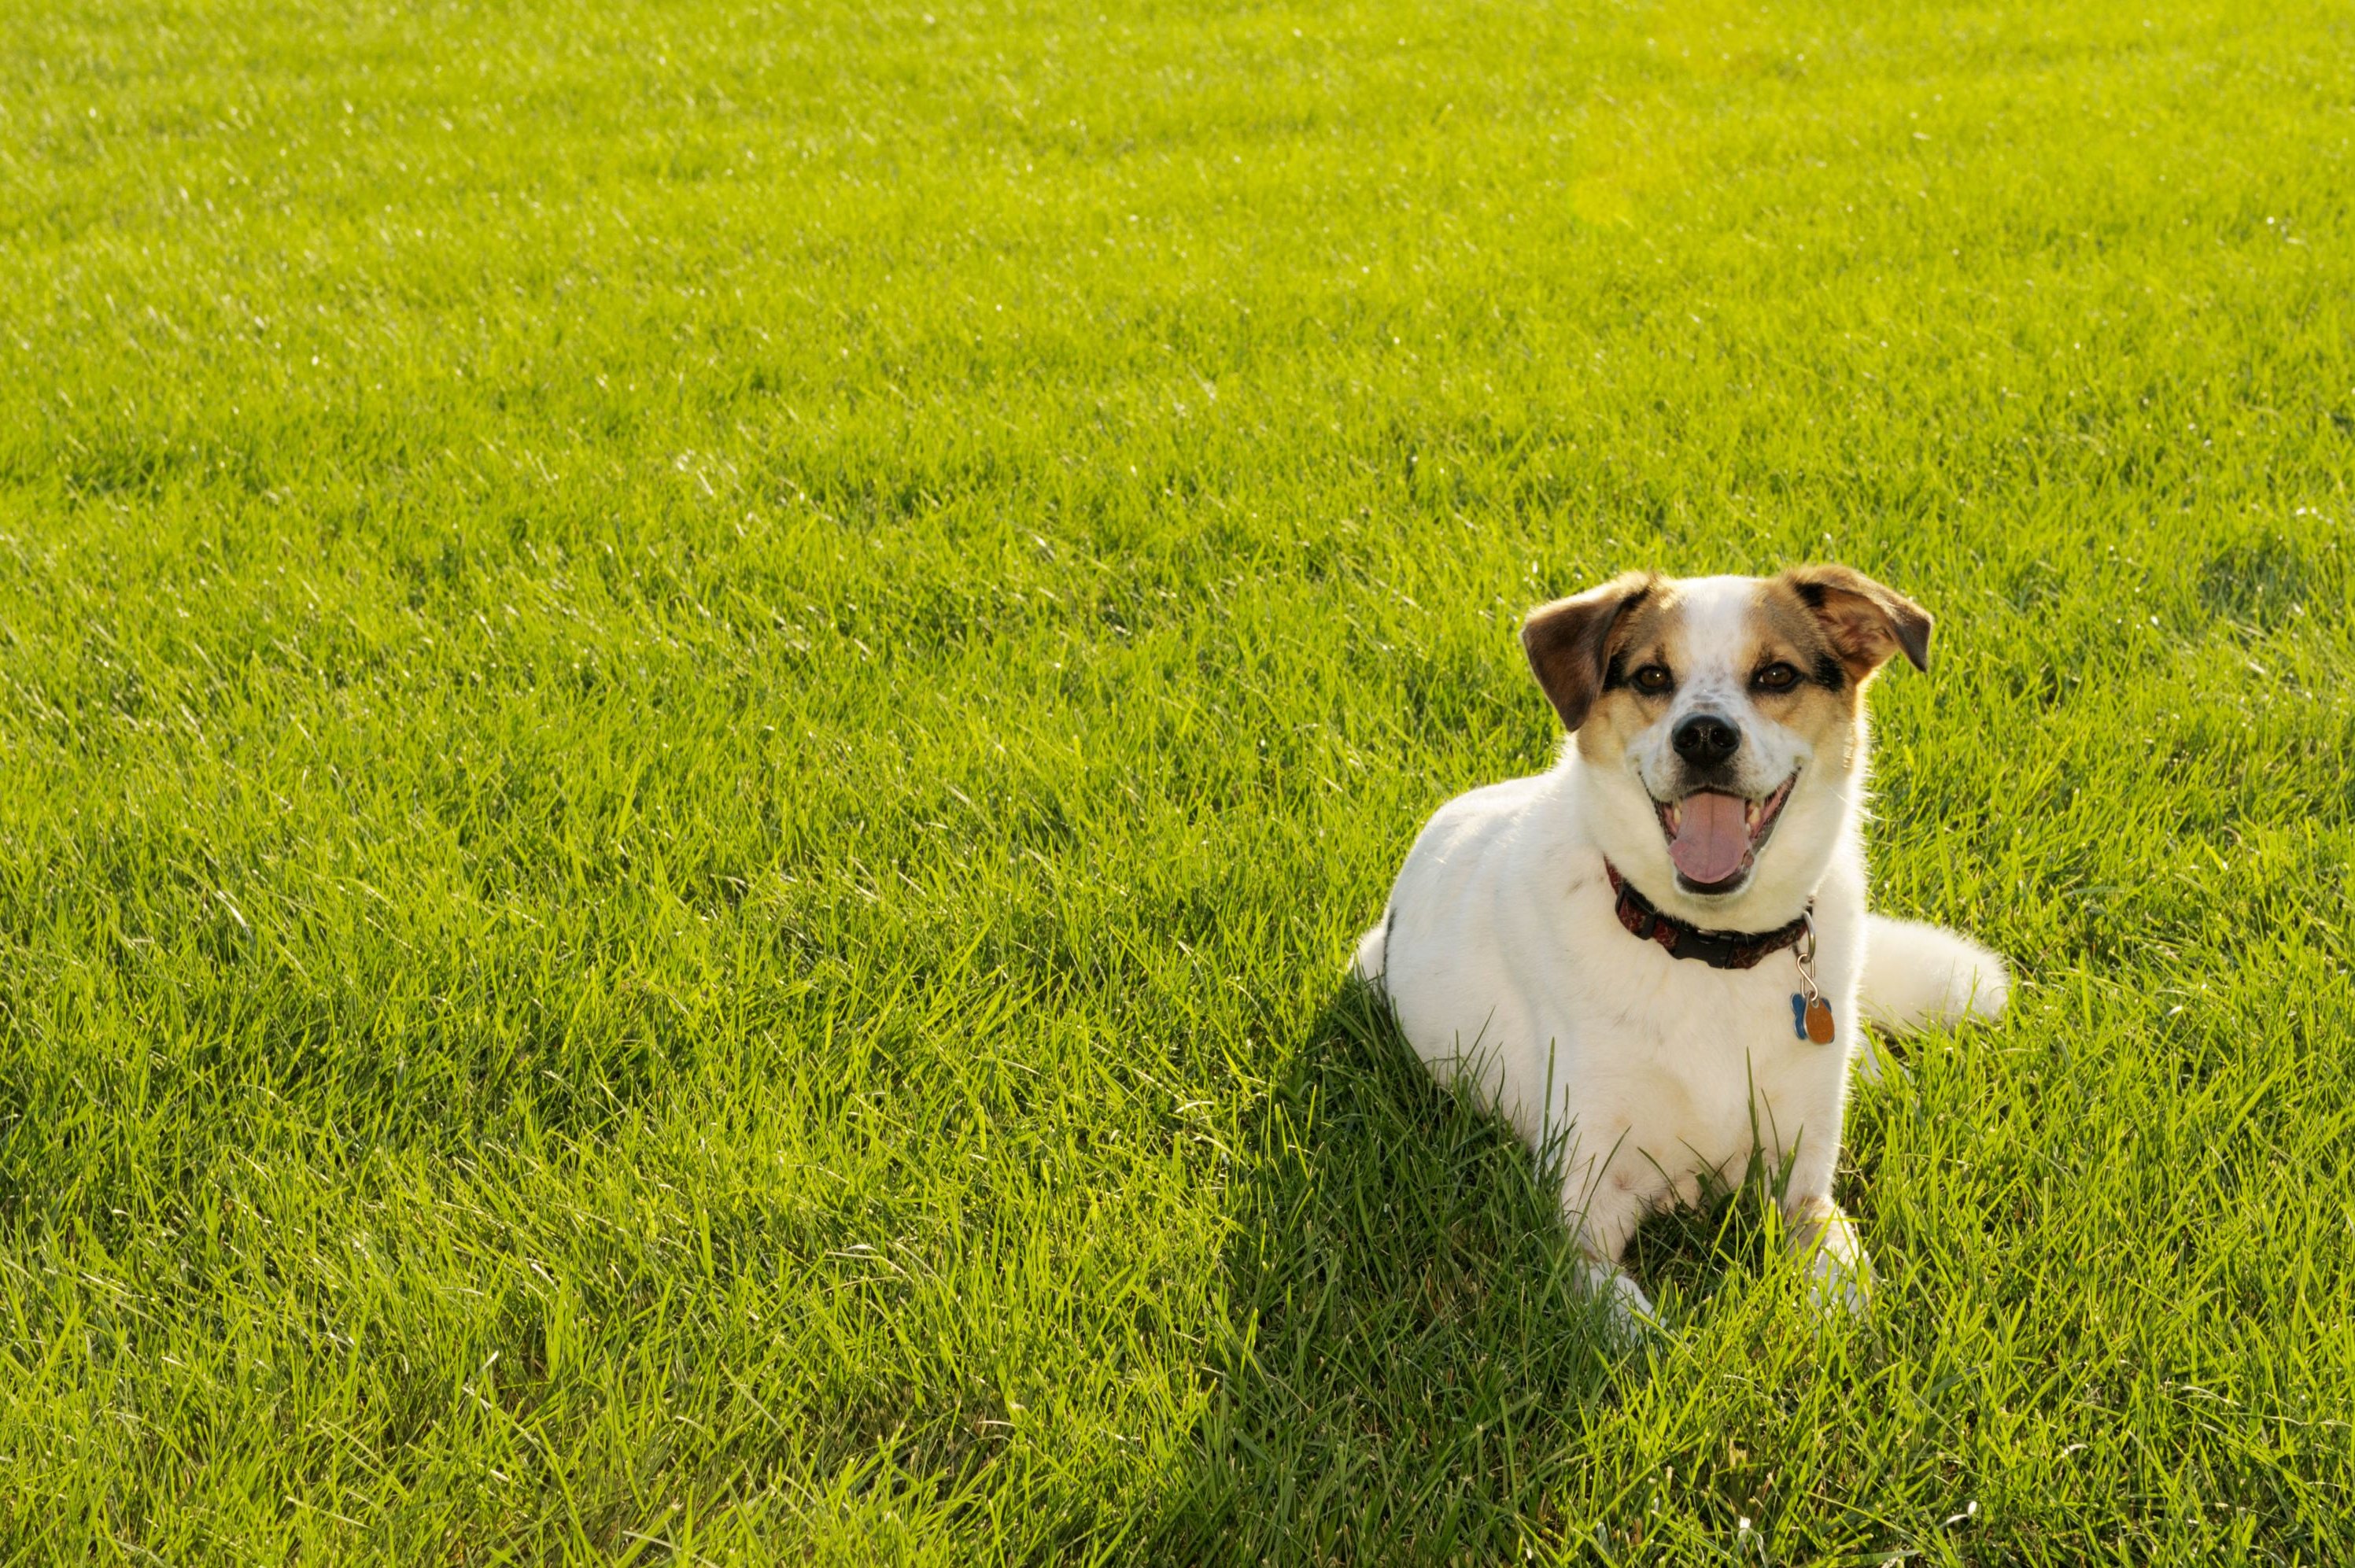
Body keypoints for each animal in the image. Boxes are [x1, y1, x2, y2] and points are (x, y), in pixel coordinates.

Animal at [1365, 563, 2006, 1318]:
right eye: (1650, 676)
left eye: (1776, 674)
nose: (1702, 736)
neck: (1714, 947)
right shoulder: (1582, 1208)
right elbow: (1625, 1318)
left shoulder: (1802, 1184)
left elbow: (1844, 1281)